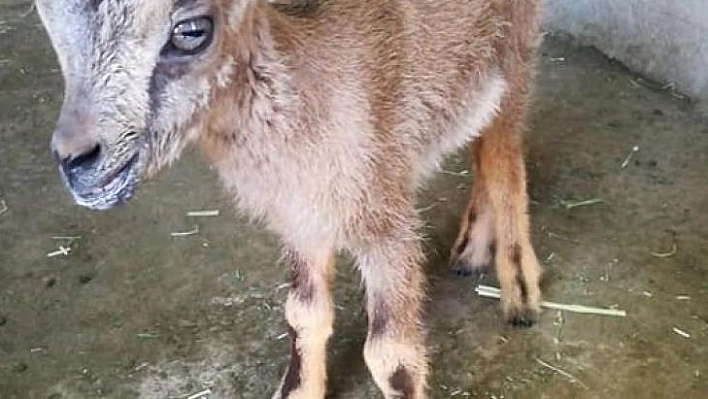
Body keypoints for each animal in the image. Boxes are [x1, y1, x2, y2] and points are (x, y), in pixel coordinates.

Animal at [37, 0, 544, 399]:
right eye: (50, 19)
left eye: (192, 31)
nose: (76, 159)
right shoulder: (300, 215)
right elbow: (303, 313)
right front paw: (300, 389)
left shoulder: (384, 215)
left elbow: (391, 358)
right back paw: (471, 249)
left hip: (515, 46)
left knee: (503, 152)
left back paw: (520, 291)